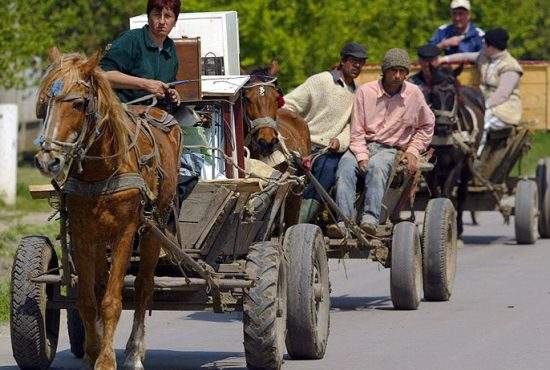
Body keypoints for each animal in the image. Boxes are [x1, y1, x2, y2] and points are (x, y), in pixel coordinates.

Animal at [34, 49, 181, 370]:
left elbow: (113, 300)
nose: (47, 160)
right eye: (45, 103)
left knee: (144, 287)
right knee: (101, 285)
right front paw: (93, 352)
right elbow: (88, 300)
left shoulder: (126, 231)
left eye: (78, 103)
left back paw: (134, 352)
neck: (103, 169)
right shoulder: (82, 233)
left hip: (154, 226)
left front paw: (106, 360)